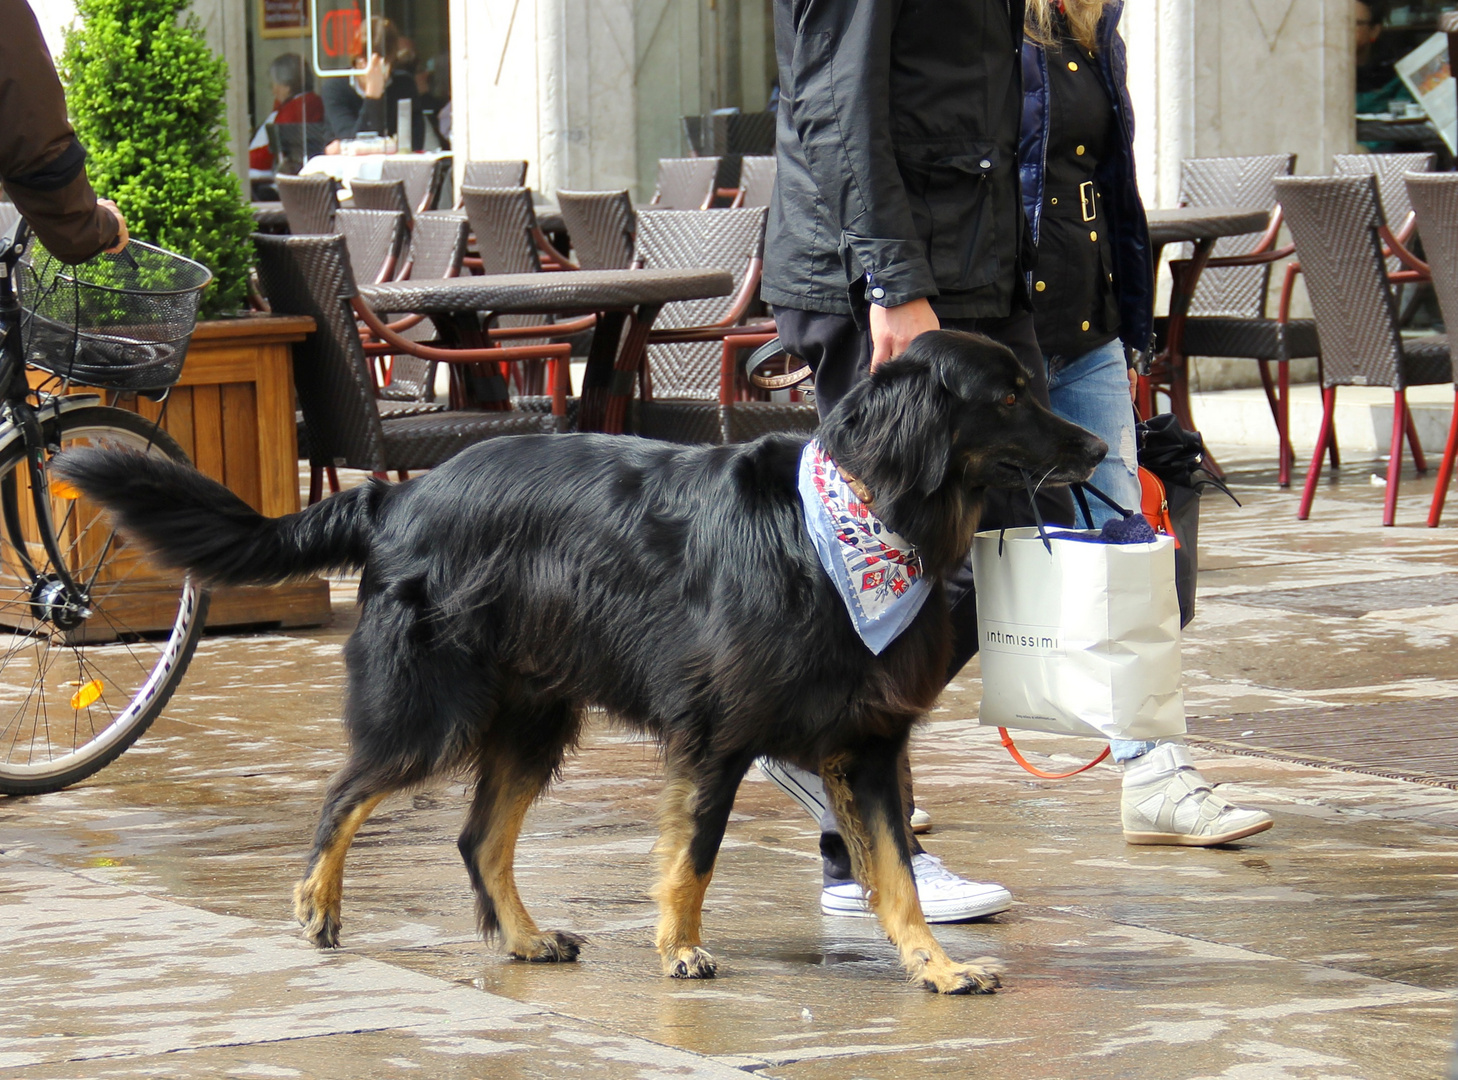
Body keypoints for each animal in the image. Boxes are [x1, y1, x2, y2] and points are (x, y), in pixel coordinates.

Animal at [59, 330, 1102, 996]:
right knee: (345, 793)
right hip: (432, 713)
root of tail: (395, 497)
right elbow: (694, 856)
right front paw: (679, 950)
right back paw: (316, 905)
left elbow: (896, 875)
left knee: (478, 837)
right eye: (1008, 395)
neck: (857, 522)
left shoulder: (870, 749)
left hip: (532, 717)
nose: (1098, 442)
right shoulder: (715, 737)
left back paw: (522, 937)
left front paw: (937, 966)